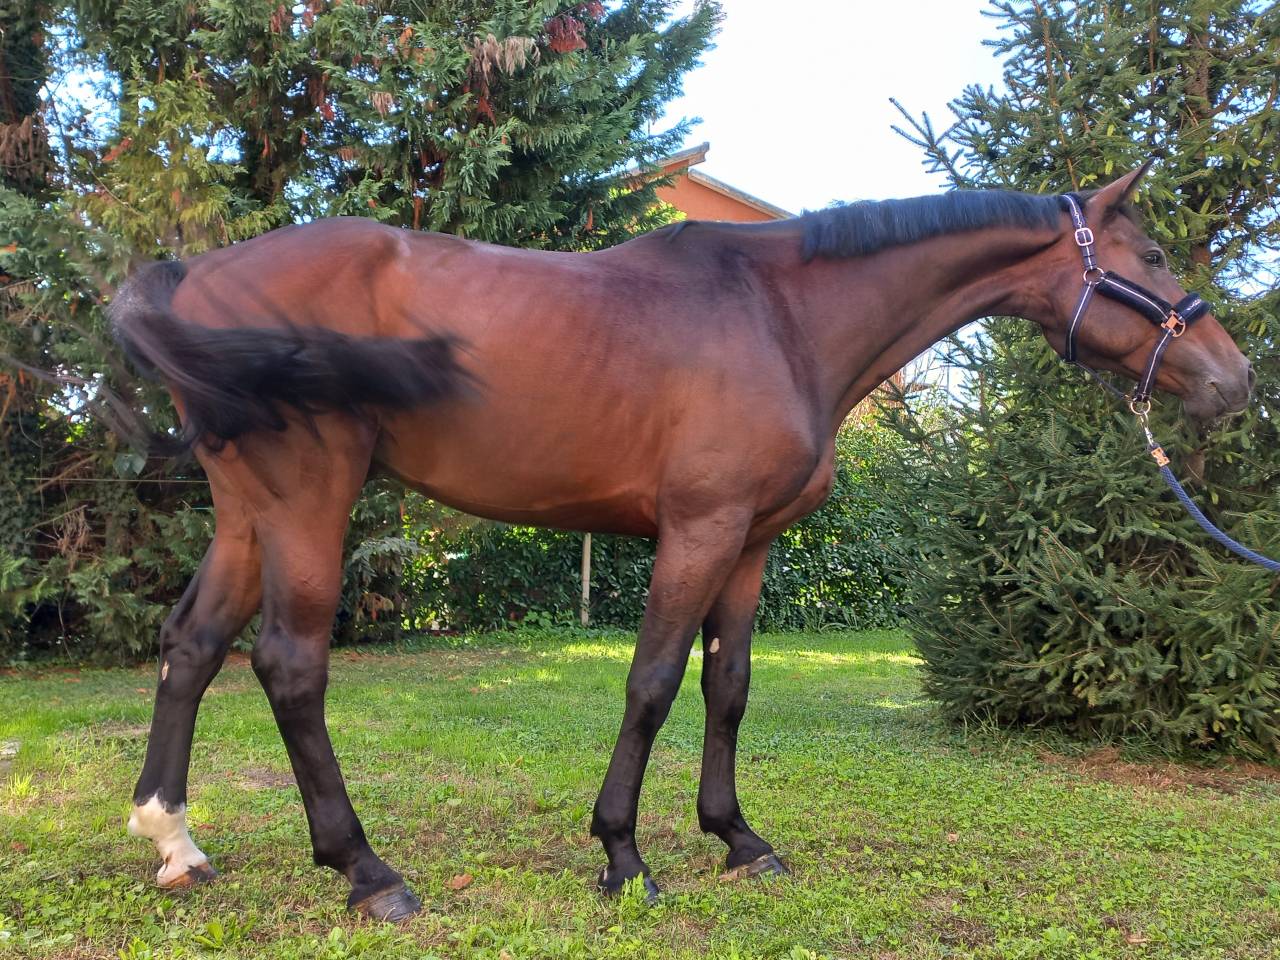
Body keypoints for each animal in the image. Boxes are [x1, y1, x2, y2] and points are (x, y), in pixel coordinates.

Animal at [111, 164, 1253, 920]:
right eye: (1153, 256)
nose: (1235, 380)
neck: (782, 316)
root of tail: (191, 274)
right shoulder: (697, 531)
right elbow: (653, 682)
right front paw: (622, 855)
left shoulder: (750, 545)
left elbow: (728, 686)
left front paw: (736, 837)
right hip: (307, 501)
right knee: (289, 664)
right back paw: (366, 872)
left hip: (248, 511)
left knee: (191, 644)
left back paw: (175, 839)